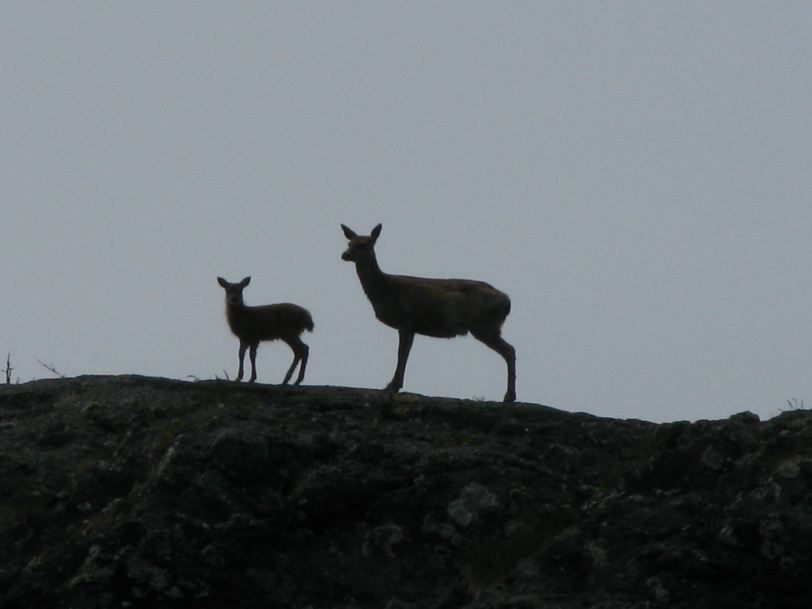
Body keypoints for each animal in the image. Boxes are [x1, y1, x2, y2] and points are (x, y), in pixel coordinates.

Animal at [340, 223, 516, 404]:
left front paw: (393, 386)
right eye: (349, 243)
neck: (383, 290)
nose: (344, 255)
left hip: (484, 324)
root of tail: (507, 301)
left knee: (510, 350)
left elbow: (401, 353)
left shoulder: (406, 320)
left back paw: (509, 396)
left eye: (364, 245)